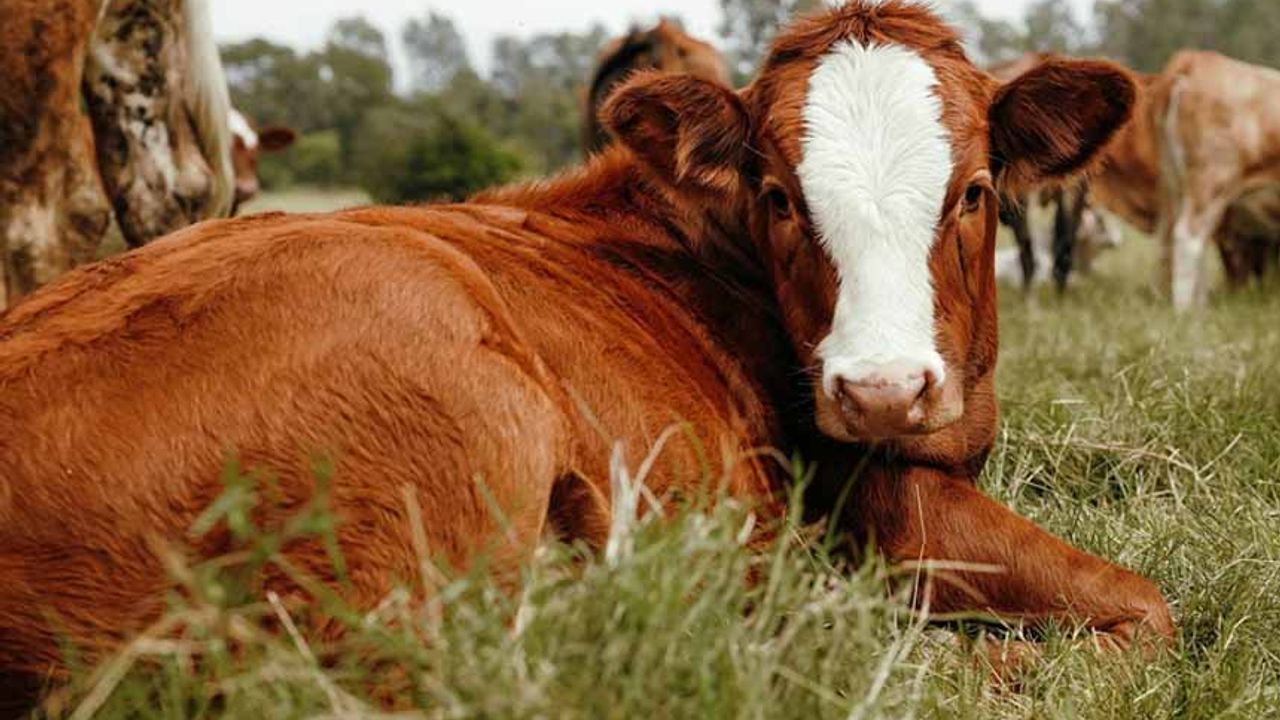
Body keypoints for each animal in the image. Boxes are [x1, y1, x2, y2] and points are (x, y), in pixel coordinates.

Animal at [1089, 51, 1280, 310]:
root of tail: (1196, 59)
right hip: (1210, 183)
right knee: (1187, 238)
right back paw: (1185, 310)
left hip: (1175, 185)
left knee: (1170, 240)